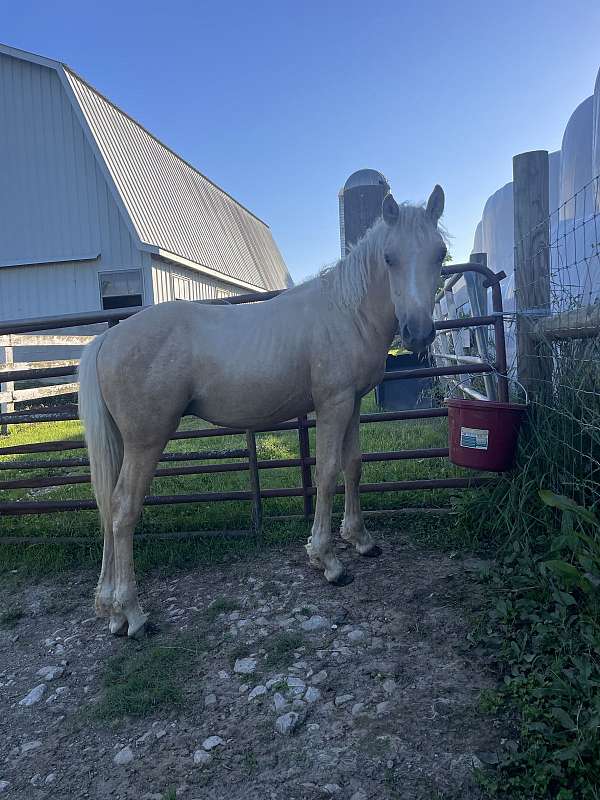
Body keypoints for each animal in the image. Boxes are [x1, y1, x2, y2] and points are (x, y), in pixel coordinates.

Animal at [78, 186, 447, 638]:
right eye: (390, 258)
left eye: (440, 254)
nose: (419, 333)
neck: (347, 312)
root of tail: (108, 338)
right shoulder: (334, 403)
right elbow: (327, 474)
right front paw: (328, 561)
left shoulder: (354, 402)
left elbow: (354, 467)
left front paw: (361, 540)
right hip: (146, 442)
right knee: (122, 510)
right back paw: (132, 613)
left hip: (122, 443)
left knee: (106, 507)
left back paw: (110, 610)